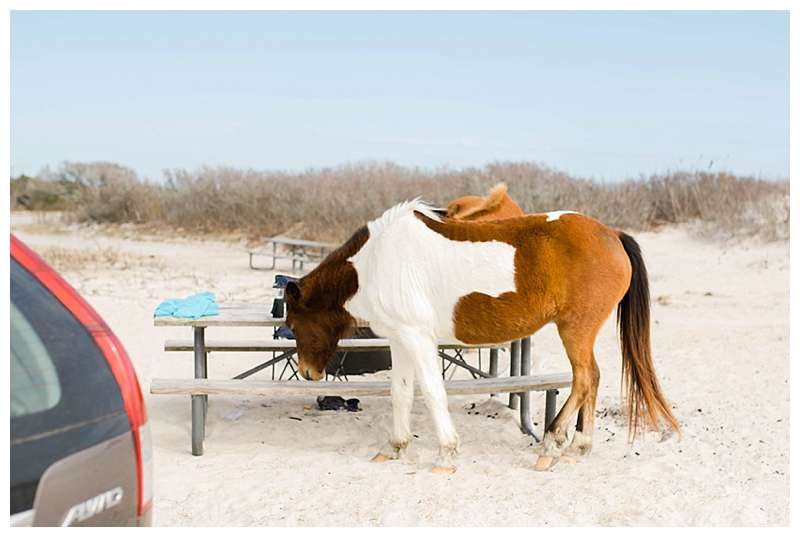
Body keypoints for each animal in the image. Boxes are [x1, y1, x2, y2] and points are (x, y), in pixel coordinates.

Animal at [284, 199, 680, 472]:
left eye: (295, 321)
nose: (307, 372)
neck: (376, 262)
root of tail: (612, 234)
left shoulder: (418, 338)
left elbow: (432, 393)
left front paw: (446, 455)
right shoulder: (400, 339)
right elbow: (401, 394)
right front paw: (393, 447)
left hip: (575, 329)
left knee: (585, 378)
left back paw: (551, 445)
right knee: (591, 381)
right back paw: (577, 448)